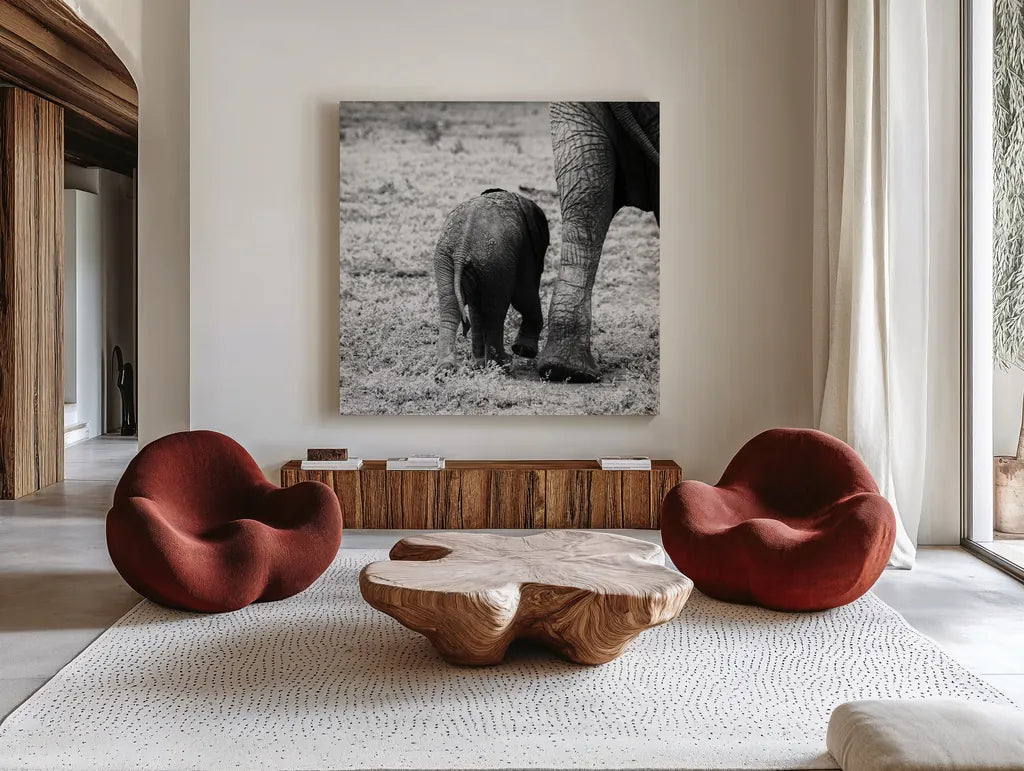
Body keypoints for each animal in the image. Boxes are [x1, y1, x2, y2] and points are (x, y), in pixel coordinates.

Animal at [434, 189, 550, 370]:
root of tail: (462, 247)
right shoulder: (526, 247)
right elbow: (524, 294)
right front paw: (524, 351)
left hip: (448, 258)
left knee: (451, 305)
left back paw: (448, 368)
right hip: (494, 259)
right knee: (496, 310)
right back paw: (502, 363)